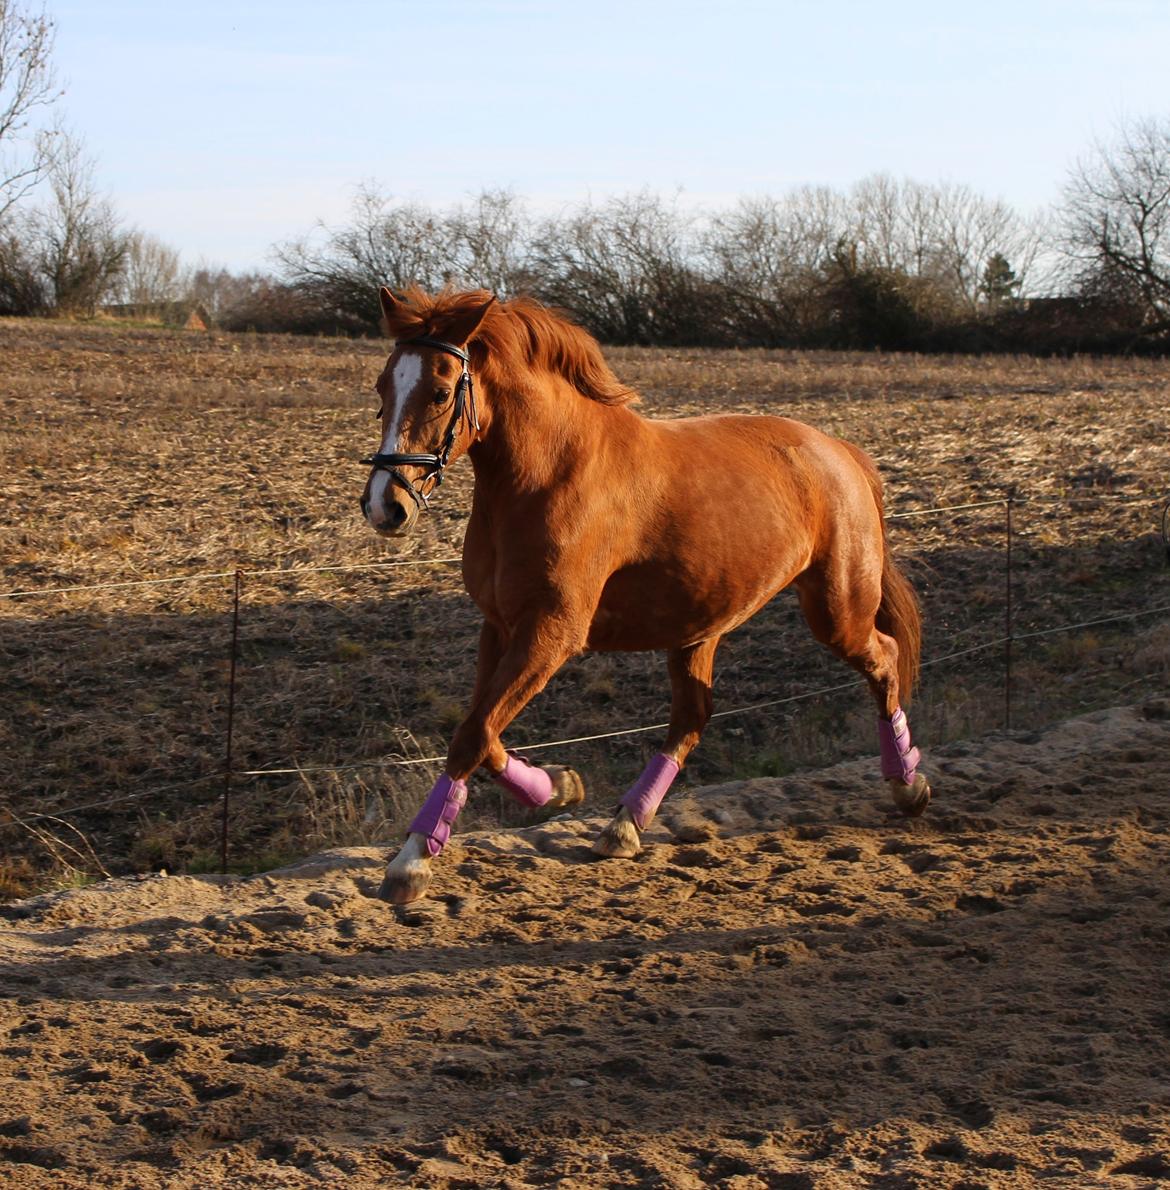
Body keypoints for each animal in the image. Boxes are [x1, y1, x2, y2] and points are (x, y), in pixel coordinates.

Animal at [361, 287, 928, 899]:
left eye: (441, 391)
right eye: (383, 387)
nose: (385, 506)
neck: (545, 476)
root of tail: (841, 451)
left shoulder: (550, 634)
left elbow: (472, 735)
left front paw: (411, 862)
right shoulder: (501, 626)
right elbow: (482, 733)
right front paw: (561, 786)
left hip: (835, 611)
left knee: (885, 658)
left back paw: (909, 785)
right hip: (700, 625)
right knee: (692, 717)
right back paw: (625, 825)